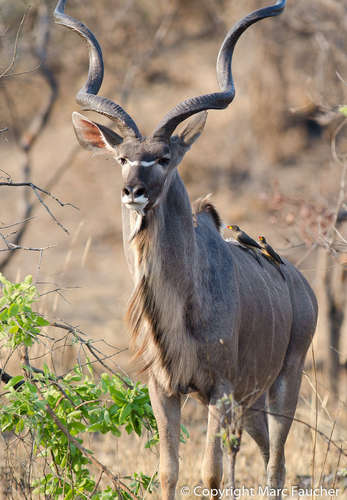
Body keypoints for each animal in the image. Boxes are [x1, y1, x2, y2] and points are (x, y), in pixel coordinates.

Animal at [54, 1, 318, 498]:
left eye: (163, 158)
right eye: (122, 158)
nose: (133, 191)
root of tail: (302, 286)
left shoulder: (219, 389)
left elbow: (209, 474)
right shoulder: (165, 390)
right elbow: (169, 471)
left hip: (284, 383)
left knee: (276, 466)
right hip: (252, 402)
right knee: (262, 454)